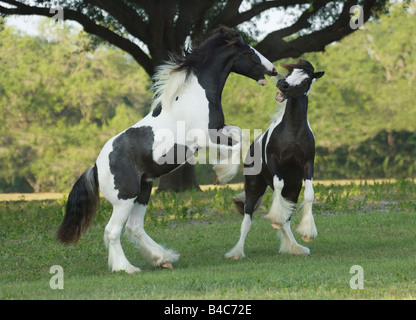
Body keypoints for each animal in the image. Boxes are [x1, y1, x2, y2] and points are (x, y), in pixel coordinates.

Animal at [56, 26, 276, 272]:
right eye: (249, 52)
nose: (274, 70)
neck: (196, 96)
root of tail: (95, 167)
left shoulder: (219, 128)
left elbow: (240, 134)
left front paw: (222, 171)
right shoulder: (204, 138)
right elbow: (238, 144)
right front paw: (222, 174)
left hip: (143, 192)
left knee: (134, 228)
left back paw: (163, 259)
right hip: (125, 198)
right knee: (112, 231)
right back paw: (127, 268)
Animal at [224, 59, 324, 260]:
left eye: (305, 79)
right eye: (290, 72)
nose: (282, 84)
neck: (293, 131)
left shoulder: (308, 166)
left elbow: (309, 195)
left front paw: (307, 233)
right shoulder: (274, 161)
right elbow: (278, 184)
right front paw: (275, 218)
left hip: (293, 189)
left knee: (287, 220)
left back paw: (295, 247)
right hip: (254, 187)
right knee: (247, 219)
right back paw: (236, 252)